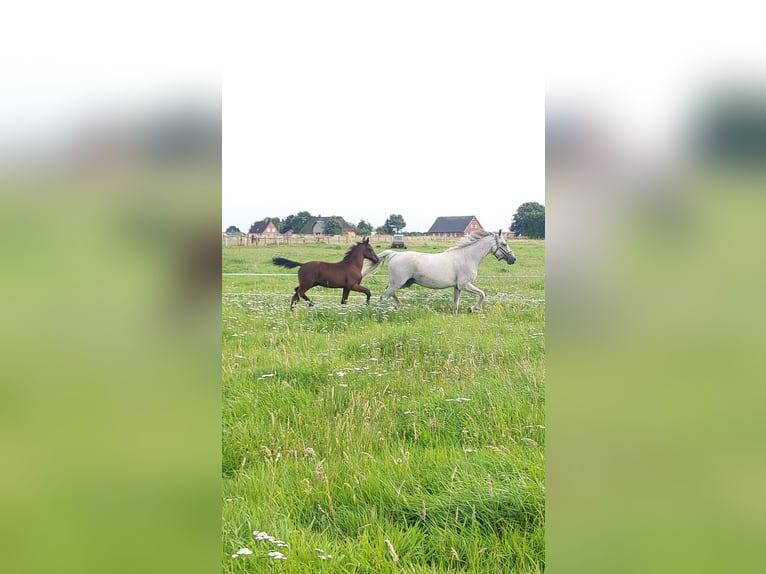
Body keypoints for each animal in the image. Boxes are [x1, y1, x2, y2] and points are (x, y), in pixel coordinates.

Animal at [364, 231, 520, 318]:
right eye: (504, 244)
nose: (513, 259)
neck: (468, 256)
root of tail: (395, 253)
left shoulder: (457, 287)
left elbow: (456, 303)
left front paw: (455, 316)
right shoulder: (465, 285)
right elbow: (482, 294)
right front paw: (472, 309)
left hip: (404, 283)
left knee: (387, 292)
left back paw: (397, 306)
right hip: (398, 283)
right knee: (384, 296)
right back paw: (382, 312)